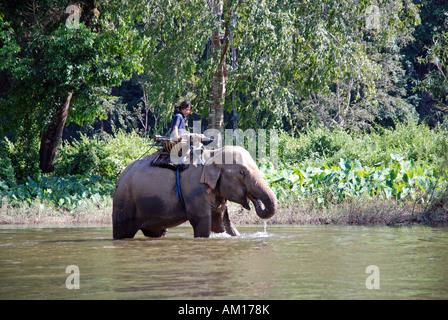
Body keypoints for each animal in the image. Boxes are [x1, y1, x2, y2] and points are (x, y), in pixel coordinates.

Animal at [112, 144, 276, 238]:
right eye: (242, 172)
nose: (256, 202)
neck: (213, 154)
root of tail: (120, 178)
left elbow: (222, 224)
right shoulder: (195, 192)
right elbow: (202, 222)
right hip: (125, 202)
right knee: (123, 232)